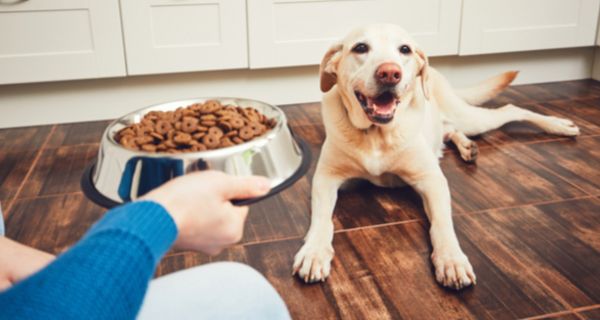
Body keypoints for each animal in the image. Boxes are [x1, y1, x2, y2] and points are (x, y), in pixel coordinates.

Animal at [292, 23, 580, 288]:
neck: (377, 134)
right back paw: (467, 147)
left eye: (404, 49)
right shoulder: (326, 178)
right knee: (449, 130)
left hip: (470, 117)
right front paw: (314, 252)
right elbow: (322, 220)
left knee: (509, 109)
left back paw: (559, 125)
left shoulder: (432, 180)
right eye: (360, 47)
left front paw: (451, 260)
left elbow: (441, 223)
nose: (390, 73)